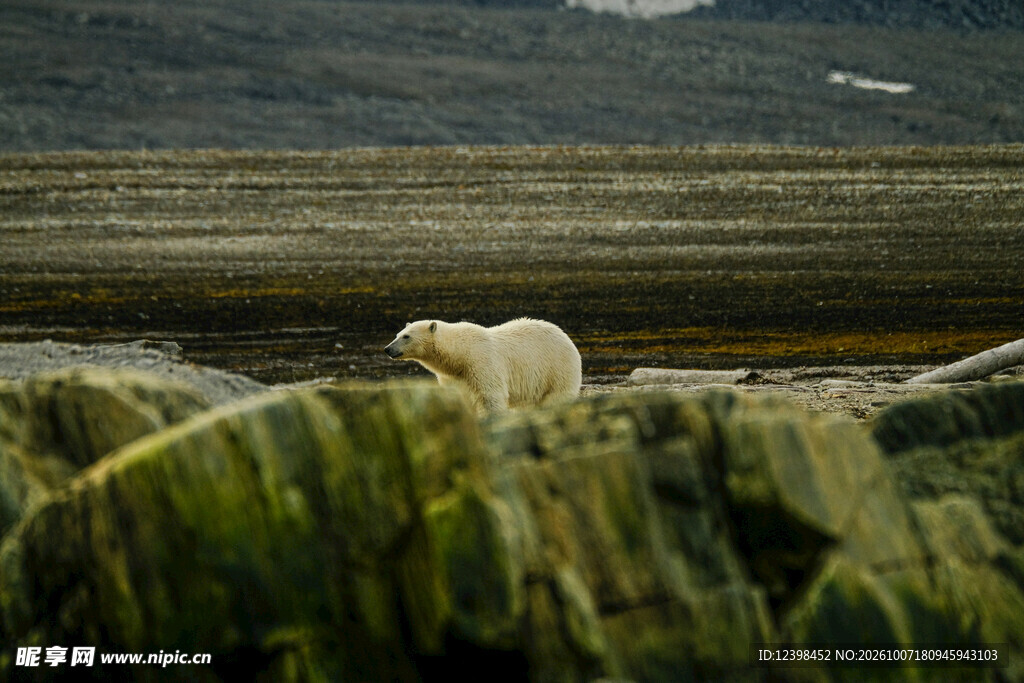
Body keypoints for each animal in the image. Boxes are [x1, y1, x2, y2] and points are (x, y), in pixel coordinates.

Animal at [384, 317, 582, 412]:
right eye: (397, 334)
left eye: (406, 336)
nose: (387, 349)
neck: (460, 354)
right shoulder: (453, 376)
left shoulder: (481, 363)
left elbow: (490, 397)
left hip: (556, 368)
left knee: (556, 397)